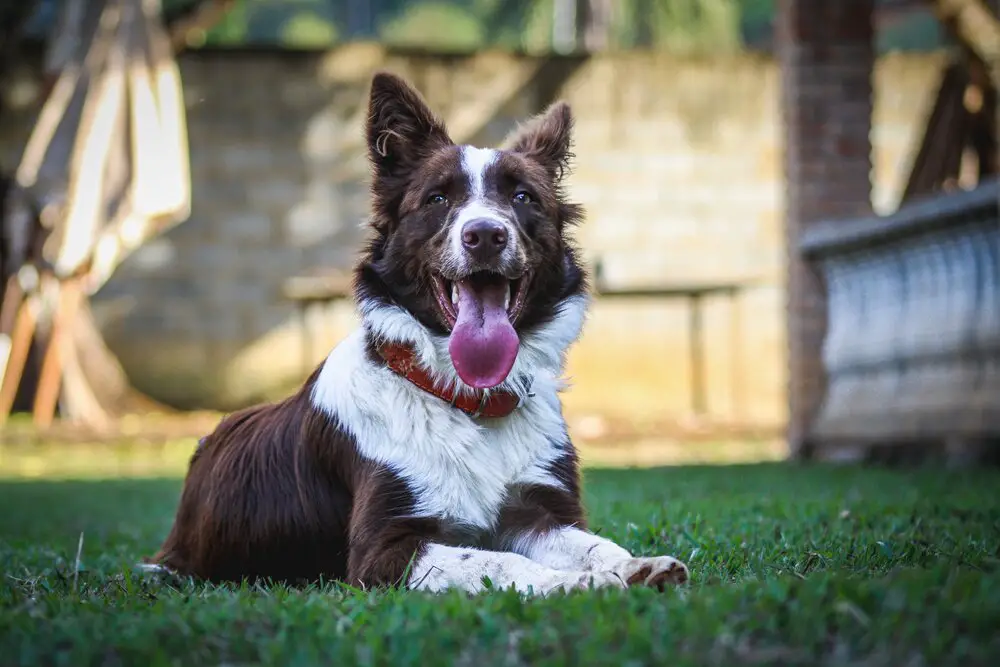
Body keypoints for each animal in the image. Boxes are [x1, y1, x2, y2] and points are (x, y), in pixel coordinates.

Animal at [143, 72, 688, 596]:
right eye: (438, 198)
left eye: (522, 197)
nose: (485, 235)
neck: (467, 400)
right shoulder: (382, 550)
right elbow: (497, 561)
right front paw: (575, 583)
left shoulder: (540, 512)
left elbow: (595, 544)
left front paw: (636, 566)